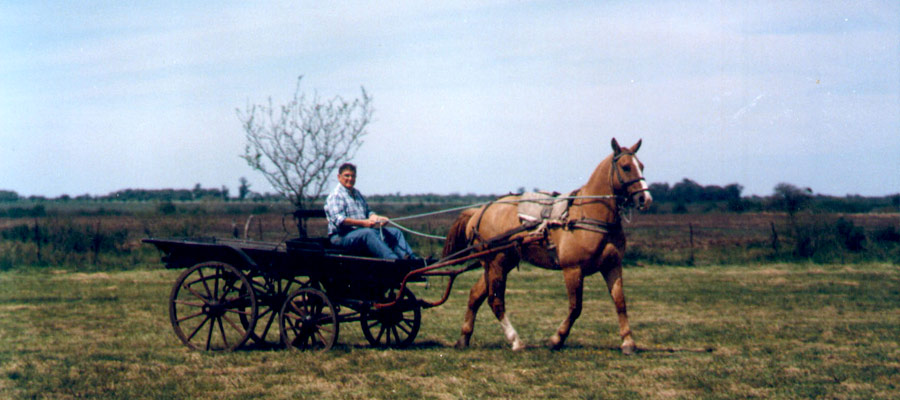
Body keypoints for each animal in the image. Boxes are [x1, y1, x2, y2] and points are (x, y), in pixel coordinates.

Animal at [440, 138, 652, 354]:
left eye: (642, 166)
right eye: (626, 167)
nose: (645, 199)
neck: (588, 215)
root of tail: (479, 212)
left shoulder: (612, 266)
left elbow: (620, 302)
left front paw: (628, 342)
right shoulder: (572, 269)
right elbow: (575, 307)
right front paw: (556, 339)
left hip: (498, 264)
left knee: (476, 295)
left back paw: (464, 338)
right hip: (496, 263)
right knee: (495, 301)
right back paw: (516, 341)